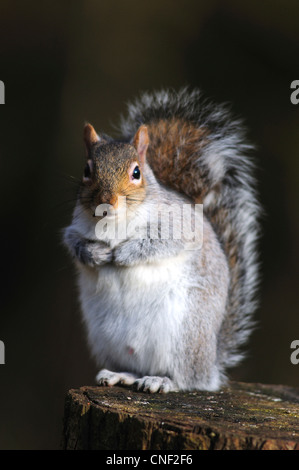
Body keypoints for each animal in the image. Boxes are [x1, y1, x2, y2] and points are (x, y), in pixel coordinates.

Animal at [63, 88, 260, 392]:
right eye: (86, 171)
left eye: (136, 172)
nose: (106, 202)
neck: (113, 223)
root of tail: (212, 363)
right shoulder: (75, 228)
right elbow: (74, 243)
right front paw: (95, 254)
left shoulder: (181, 226)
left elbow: (161, 244)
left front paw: (123, 254)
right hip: (106, 338)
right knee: (135, 367)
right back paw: (121, 374)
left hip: (185, 334)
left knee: (188, 379)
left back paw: (162, 381)